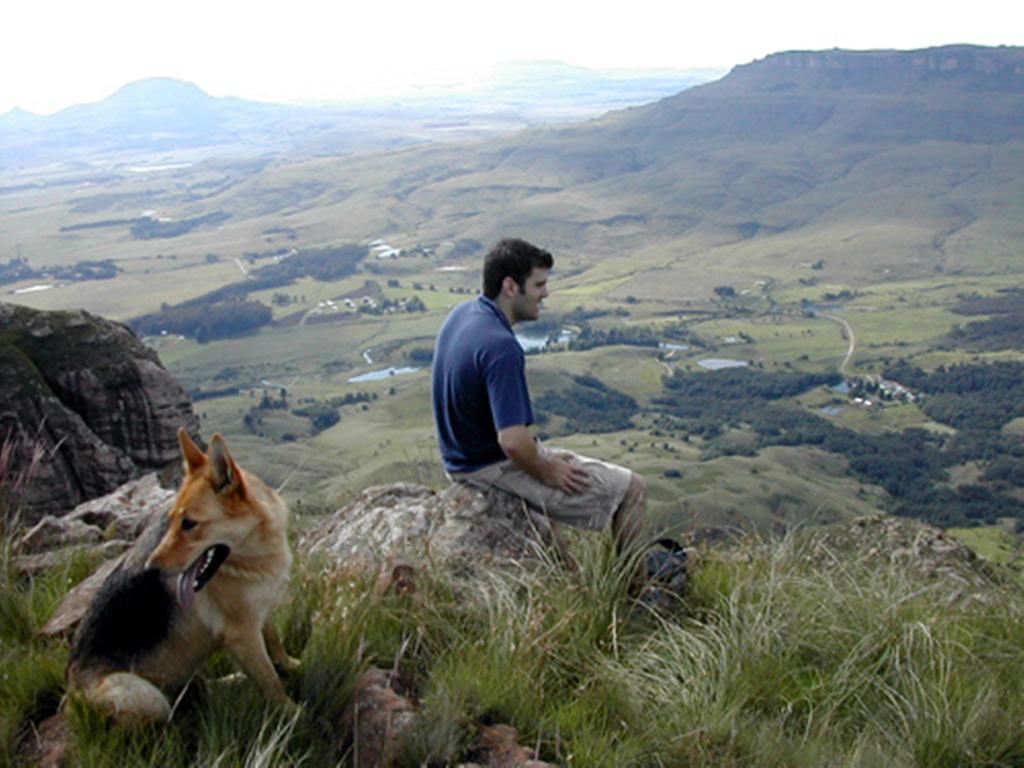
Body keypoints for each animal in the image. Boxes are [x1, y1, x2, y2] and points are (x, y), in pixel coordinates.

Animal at [68, 430, 296, 724]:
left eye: (189, 523)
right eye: (172, 520)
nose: (149, 569)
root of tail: (71, 696)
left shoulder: (260, 609)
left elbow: (274, 642)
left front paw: (289, 665)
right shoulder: (241, 633)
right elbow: (270, 680)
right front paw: (293, 713)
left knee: (198, 687)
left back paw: (229, 681)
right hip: (148, 698)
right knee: (170, 712)